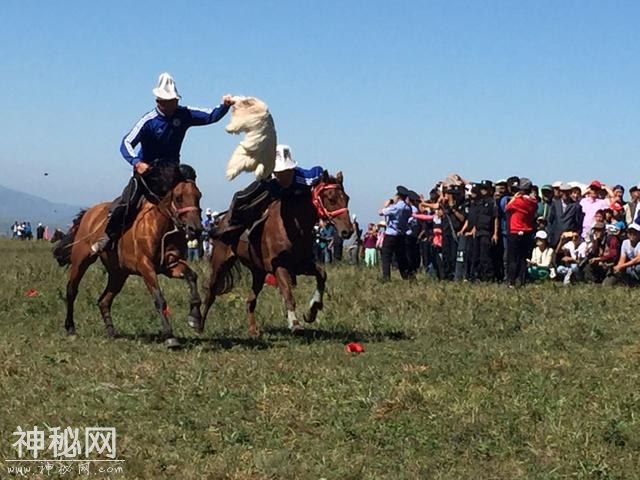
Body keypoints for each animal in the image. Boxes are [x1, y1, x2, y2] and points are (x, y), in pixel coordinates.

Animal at [53, 169, 202, 348]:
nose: (195, 229)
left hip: (119, 274)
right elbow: (159, 299)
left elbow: (192, 276)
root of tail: (89, 212)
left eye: (199, 196)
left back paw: (111, 333)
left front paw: (195, 318)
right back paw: (70, 328)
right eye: (178, 197)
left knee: (104, 300)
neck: (160, 225)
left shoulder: (171, 265)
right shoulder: (146, 267)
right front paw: (170, 336)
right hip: (81, 261)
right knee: (72, 291)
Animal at [204, 171, 356, 336]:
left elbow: (322, 274)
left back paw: (253, 330)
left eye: (347, 198)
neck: (294, 224)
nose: (348, 231)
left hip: (258, 272)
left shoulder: (300, 264)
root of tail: (222, 221)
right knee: (210, 292)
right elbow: (288, 294)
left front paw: (312, 310)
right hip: (220, 263)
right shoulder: (280, 266)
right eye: (331, 199)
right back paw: (198, 323)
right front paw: (295, 323)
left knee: (250, 300)